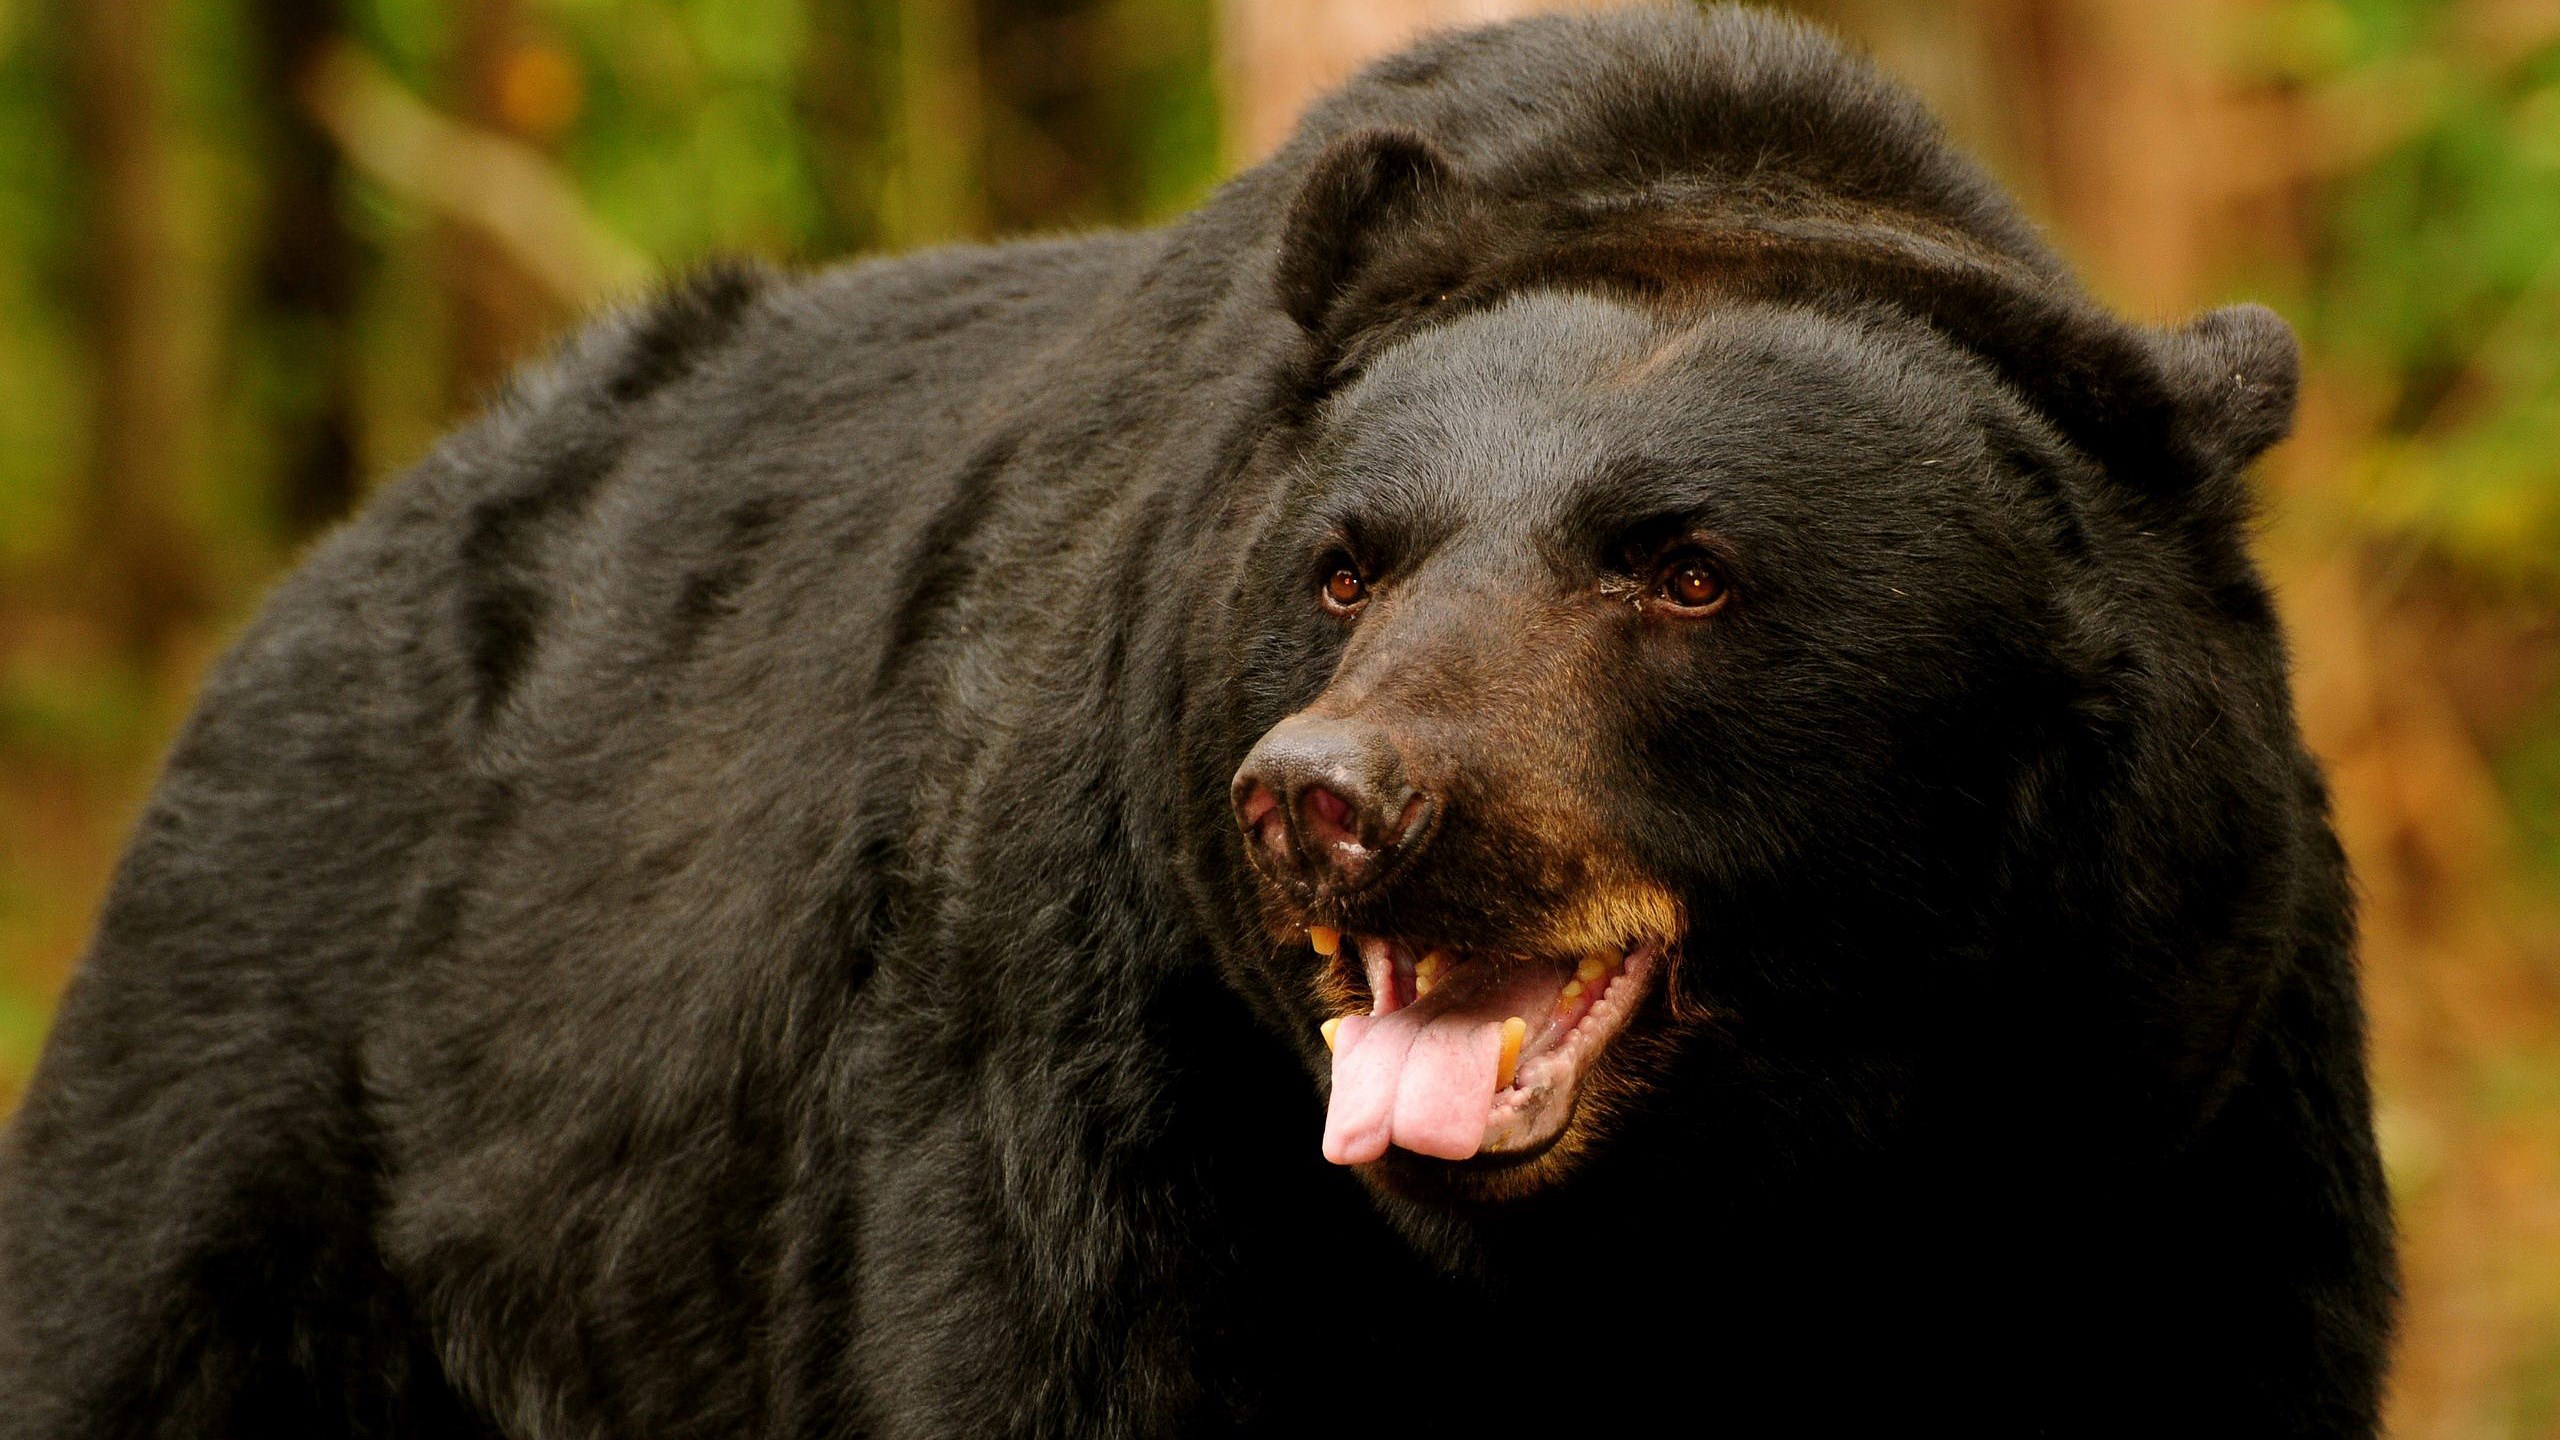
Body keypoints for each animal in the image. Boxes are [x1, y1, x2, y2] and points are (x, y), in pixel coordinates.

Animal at [0, 5, 2394, 1435]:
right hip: (281, 1092)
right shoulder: (1114, 1106)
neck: (1684, 1239)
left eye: (1683, 566)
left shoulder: (2152, 1120)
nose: (1326, 800)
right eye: (1345, 563)